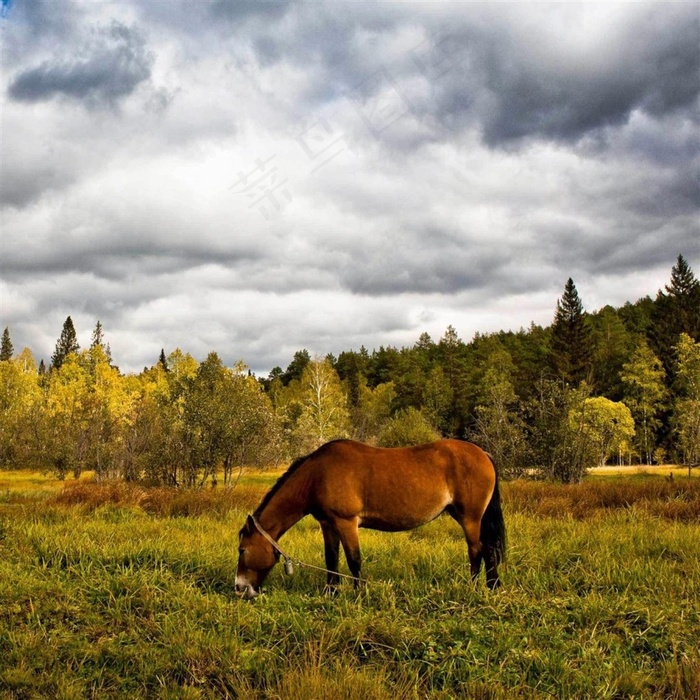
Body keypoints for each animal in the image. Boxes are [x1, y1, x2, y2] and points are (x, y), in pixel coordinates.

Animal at [235, 438, 504, 596]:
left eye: (242, 550)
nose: (239, 588)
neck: (317, 475)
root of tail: (484, 453)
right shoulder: (328, 525)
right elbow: (331, 559)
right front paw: (331, 593)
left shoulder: (346, 523)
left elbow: (354, 560)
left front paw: (359, 593)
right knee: (487, 549)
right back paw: (491, 586)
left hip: (470, 517)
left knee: (477, 550)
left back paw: (476, 587)